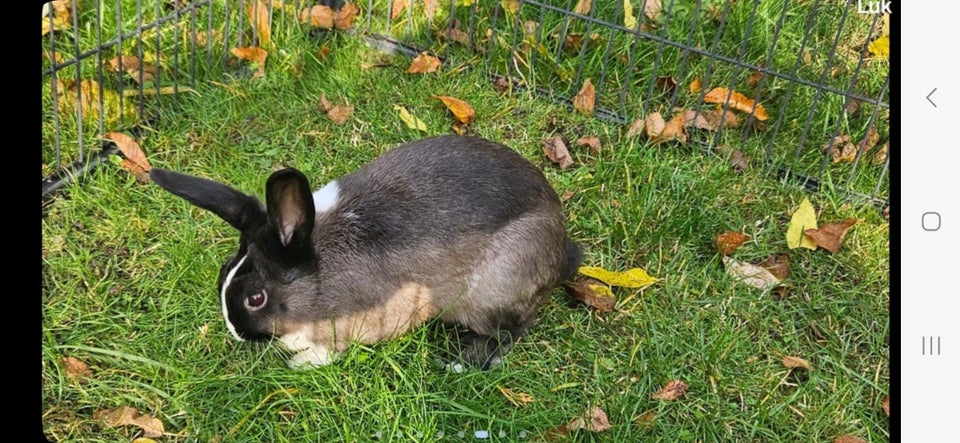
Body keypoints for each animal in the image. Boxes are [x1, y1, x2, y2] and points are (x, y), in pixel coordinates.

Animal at [152, 135, 576, 372]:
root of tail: (561, 246)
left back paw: (460, 361)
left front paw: (301, 362)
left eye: (256, 298)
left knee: (511, 333)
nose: (235, 332)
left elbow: (333, 349)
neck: (318, 277)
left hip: (495, 290)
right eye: (225, 269)